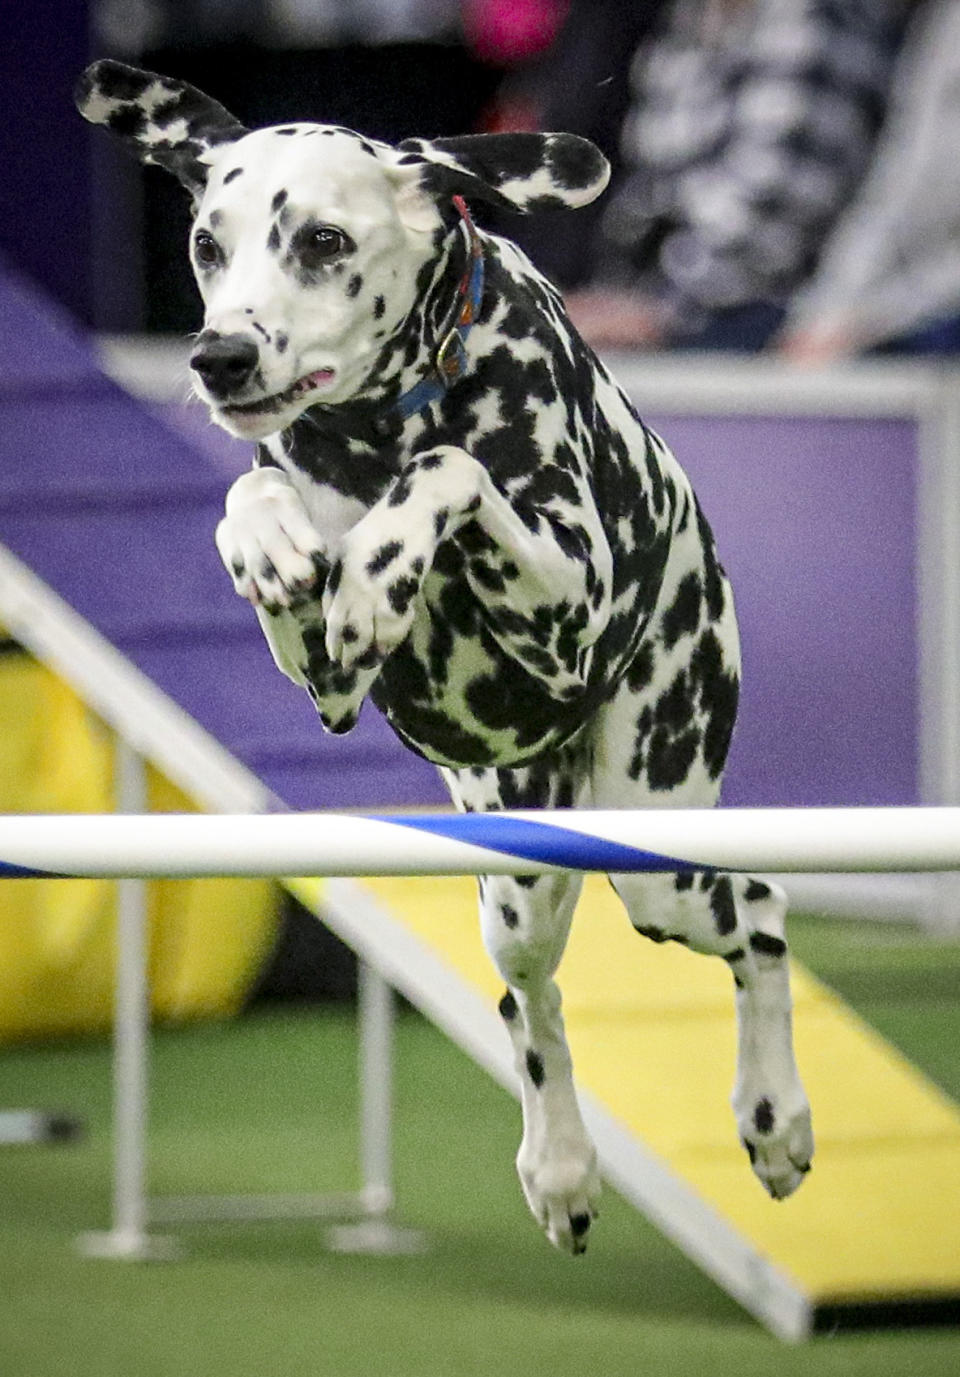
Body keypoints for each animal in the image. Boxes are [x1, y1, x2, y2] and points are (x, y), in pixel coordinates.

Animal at [78, 61, 809, 1250]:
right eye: (206, 243)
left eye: (323, 240)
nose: (220, 357)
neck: (383, 421)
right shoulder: (330, 684)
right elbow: (256, 502)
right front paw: (275, 543)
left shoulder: (567, 609)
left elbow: (453, 470)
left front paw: (382, 563)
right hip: (517, 880)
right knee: (532, 1001)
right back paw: (560, 1168)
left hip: (659, 843)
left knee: (761, 913)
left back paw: (776, 1117)